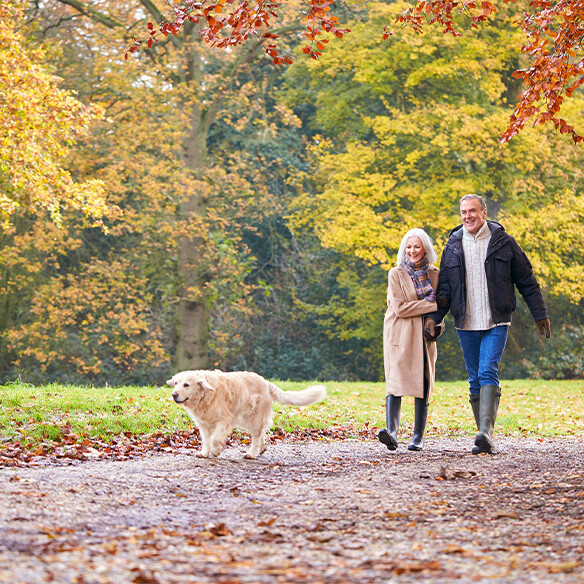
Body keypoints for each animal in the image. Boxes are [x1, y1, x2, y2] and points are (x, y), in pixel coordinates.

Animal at [167, 370, 326, 460]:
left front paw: (216, 451)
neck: (205, 395)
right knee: (262, 433)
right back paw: (261, 448)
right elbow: (206, 440)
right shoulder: (203, 424)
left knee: (256, 437)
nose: (173, 394)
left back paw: (251, 453)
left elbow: (214, 439)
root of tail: (266, 382)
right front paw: (205, 453)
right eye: (176, 383)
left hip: (254, 418)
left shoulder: (223, 421)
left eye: (186, 385)